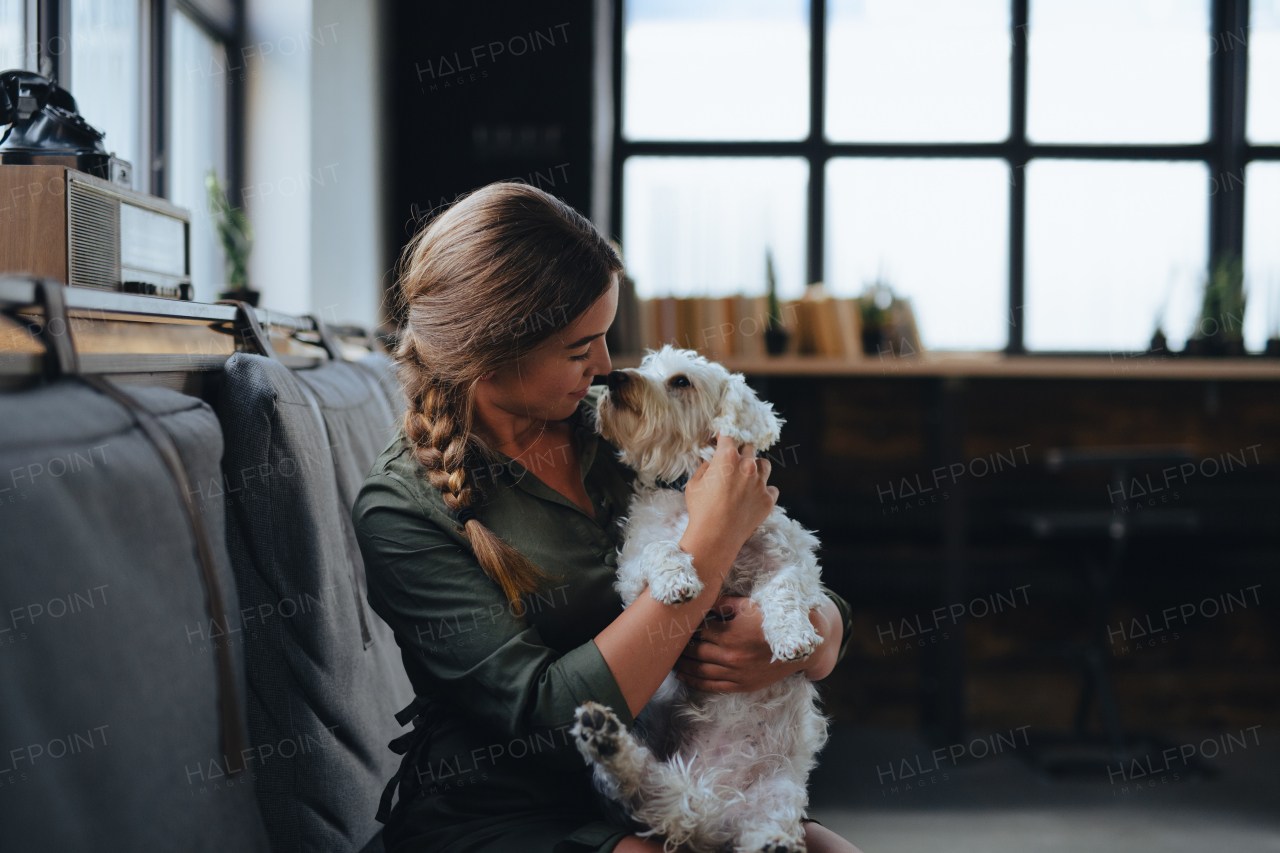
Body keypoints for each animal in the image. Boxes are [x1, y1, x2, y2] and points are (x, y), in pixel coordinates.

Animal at [570, 343, 829, 850]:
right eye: (644, 366)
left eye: (680, 381)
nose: (615, 377)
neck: (688, 489)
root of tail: (713, 803)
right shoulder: (632, 575)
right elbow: (661, 550)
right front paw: (678, 581)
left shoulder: (792, 559)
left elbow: (784, 592)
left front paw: (792, 638)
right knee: (644, 789)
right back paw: (604, 739)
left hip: (780, 793)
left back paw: (773, 842)